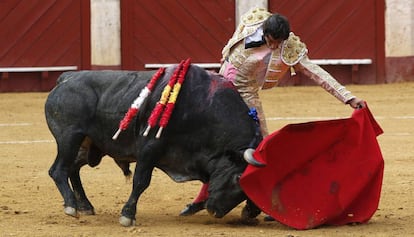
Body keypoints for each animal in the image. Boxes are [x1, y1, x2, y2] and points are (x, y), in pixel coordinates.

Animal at [45, 64, 264, 226]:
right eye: (237, 177)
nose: (215, 211)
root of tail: (66, 78)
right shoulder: (149, 148)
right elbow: (141, 181)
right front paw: (127, 216)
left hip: (90, 146)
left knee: (72, 168)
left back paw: (85, 206)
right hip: (69, 137)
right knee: (58, 169)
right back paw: (71, 206)